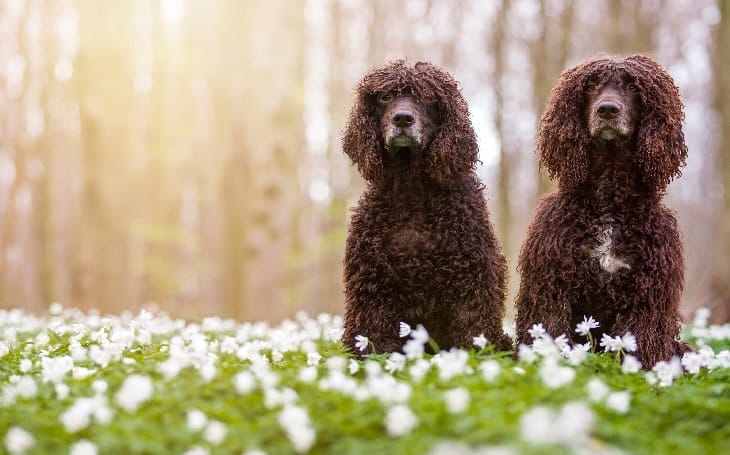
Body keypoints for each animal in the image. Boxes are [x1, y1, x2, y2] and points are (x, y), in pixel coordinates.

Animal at [340, 59, 506, 356]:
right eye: (386, 97)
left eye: (427, 98)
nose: (403, 119)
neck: (412, 194)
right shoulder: (372, 286)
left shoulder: (472, 283)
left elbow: (473, 329)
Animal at [516, 54, 692, 366]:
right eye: (590, 86)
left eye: (633, 87)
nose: (607, 109)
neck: (610, 200)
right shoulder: (552, 286)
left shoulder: (646, 296)